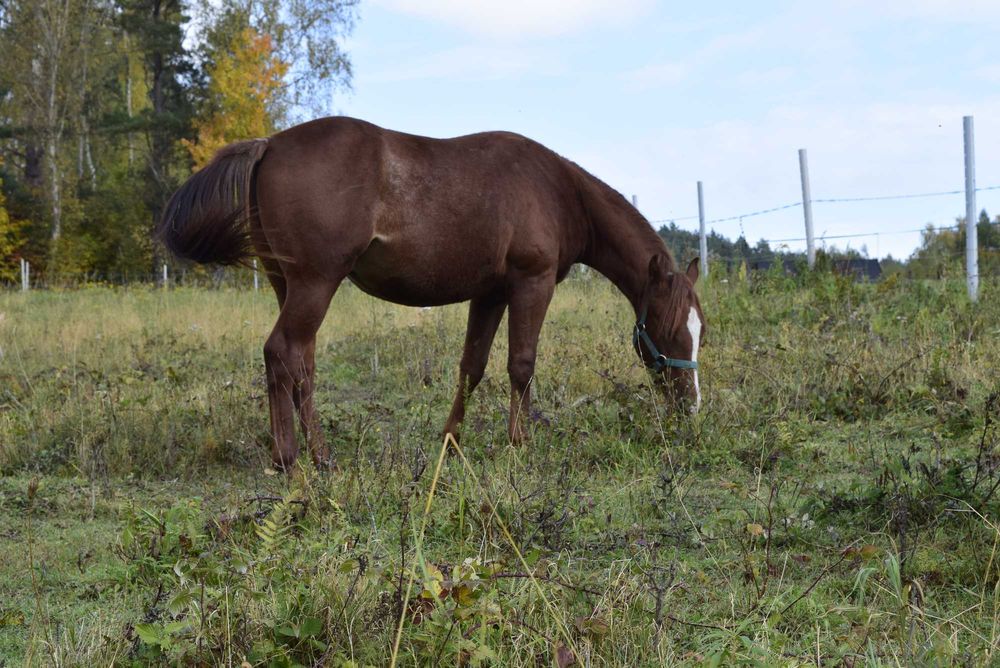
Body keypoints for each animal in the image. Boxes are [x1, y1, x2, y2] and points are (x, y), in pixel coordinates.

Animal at [157, 117, 706, 470]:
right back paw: (292, 458)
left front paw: (452, 440)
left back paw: (318, 454)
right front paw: (520, 442)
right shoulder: (531, 284)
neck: (557, 190)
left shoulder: (490, 294)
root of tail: (269, 143)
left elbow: (472, 368)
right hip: (315, 283)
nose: (692, 406)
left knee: (300, 365)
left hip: (286, 284)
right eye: (670, 331)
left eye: (701, 331)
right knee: (281, 353)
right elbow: (521, 365)